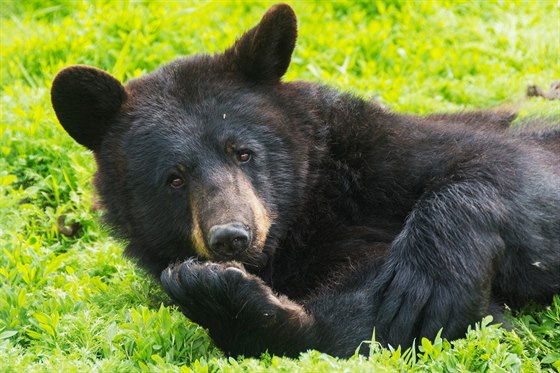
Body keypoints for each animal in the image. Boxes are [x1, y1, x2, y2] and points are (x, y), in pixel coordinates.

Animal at [50, 2, 556, 358]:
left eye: (244, 152)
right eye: (174, 178)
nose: (231, 237)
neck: (304, 222)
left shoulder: (381, 152)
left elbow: (517, 173)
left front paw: (425, 283)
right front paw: (218, 295)